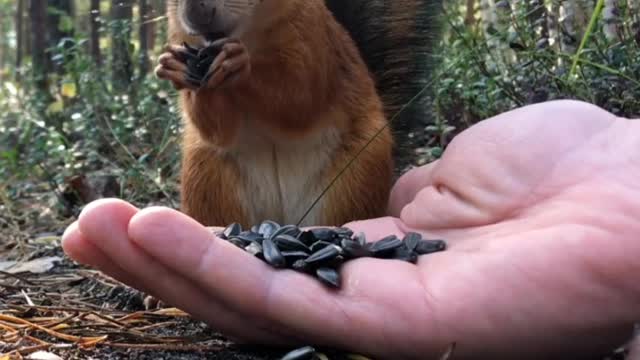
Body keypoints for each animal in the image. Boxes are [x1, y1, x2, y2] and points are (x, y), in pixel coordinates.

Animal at [158, 0, 442, 228]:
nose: (195, 11)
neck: (249, 36)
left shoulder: (314, 42)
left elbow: (299, 100)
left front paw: (239, 63)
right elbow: (218, 131)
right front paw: (176, 68)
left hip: (354, 181)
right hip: (208, 181)